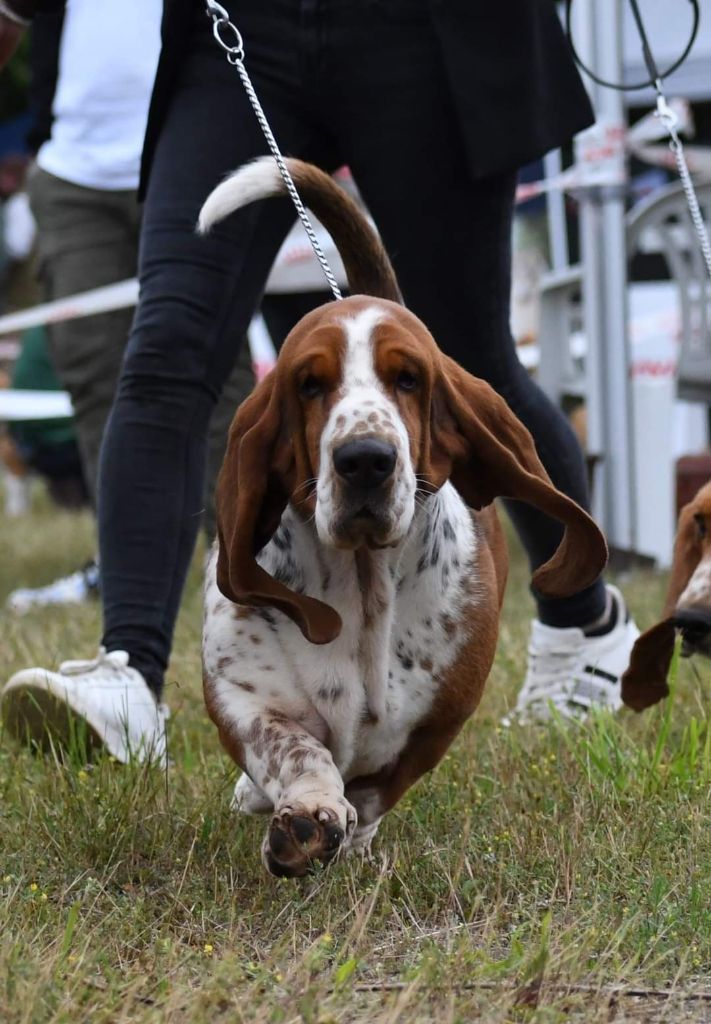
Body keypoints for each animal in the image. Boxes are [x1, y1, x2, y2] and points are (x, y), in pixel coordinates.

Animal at [198, 155, 606, 876]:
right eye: (309, 383)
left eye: (409, 378)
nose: (365, 459)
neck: (362, 584)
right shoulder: (241, 693)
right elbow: (292, 748)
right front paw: (306, 814)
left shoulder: (434, 725)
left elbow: (372, 790)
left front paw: (345, 835)